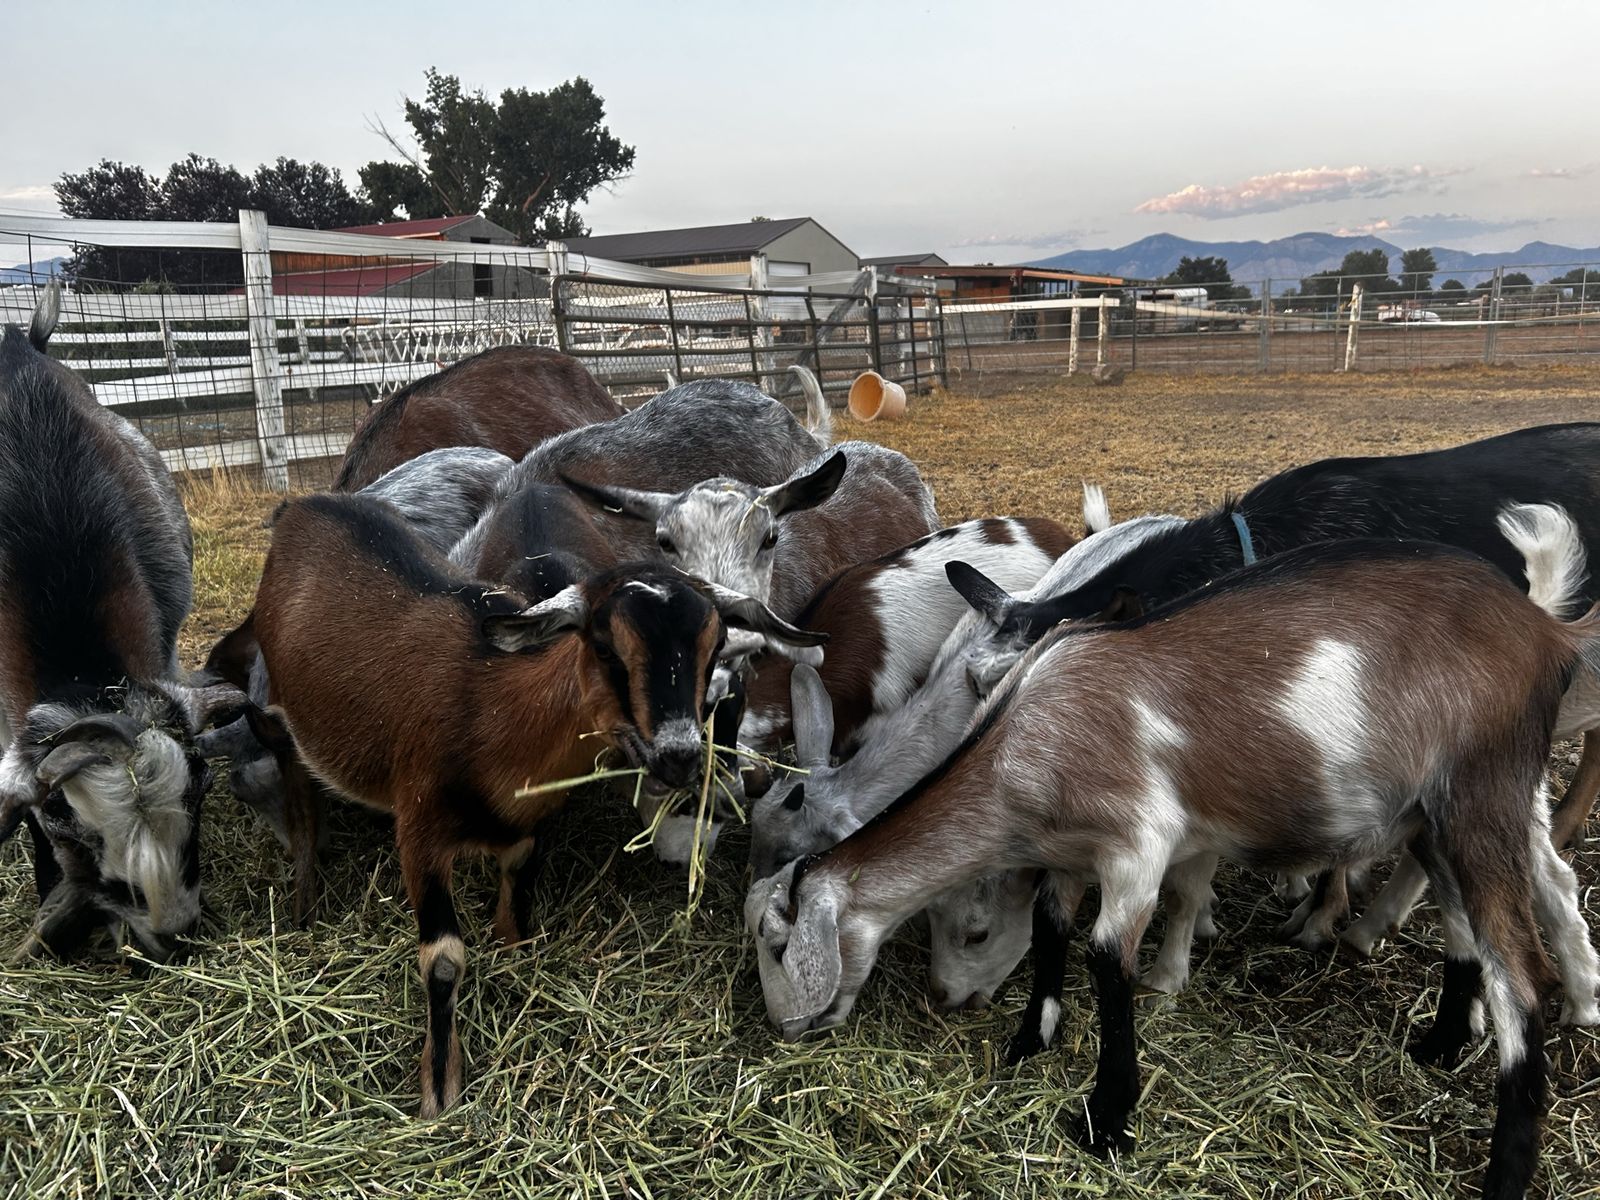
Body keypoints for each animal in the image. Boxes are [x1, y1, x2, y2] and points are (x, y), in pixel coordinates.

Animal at [250, 491, 821, 1115]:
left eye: (714, 646)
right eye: (604, 646)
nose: (679, 755)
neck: (489, 706)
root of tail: (300, 505)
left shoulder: (526, 832)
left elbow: (518, 917)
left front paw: (515, 960)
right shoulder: (419, 830)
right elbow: (444, 961)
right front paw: (439, 1087)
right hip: (283, 709)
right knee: (295, 785)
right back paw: (304, 901)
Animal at [750, 528, 1600, 1200]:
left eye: (777, 941)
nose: (784, 1028)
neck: (1023, 740)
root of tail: (1547, 635)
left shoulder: (1139, 843)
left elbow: (1105, 957)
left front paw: (1108, 1118)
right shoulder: (1066, 854)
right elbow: (1053, 930)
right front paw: (1031, 1041)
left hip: (1484, 794)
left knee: (1522, 980)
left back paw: (1508, 1161)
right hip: (1430, 818)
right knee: (1465, 927)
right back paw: (1441, 1042)